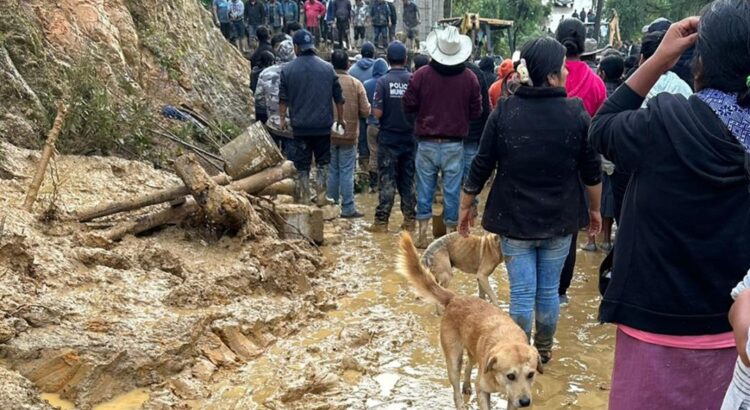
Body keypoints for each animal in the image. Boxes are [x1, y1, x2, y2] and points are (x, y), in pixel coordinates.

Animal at [400, 234, 540, 410]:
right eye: (511, 376)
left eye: (531, 374)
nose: (525, 402)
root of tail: (455, 298)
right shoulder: (482, 389)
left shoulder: (513, 399)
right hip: (453, 358)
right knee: (455, 385)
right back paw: (460, 402)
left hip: (472, 352)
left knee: (468, 366)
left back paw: (466, 386)